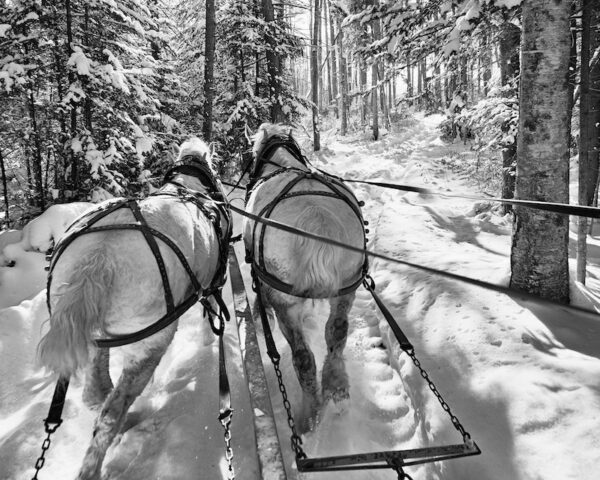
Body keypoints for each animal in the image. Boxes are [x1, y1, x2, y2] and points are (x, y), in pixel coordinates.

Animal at [37, 137, 231, 480]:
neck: (189, 187)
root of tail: (99, 258)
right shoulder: (213, 283)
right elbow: (211, 313)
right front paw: (208, 342)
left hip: (97, 337)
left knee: (96, 395)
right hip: (150, 341)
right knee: (112, 410)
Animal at [242, 124, 368, 433]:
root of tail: (316, 216)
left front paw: (261, 319)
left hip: (285, 301)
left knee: (303, 357)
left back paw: (308, 417)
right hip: (346, 288)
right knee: (336, 332)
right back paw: (337, 389)